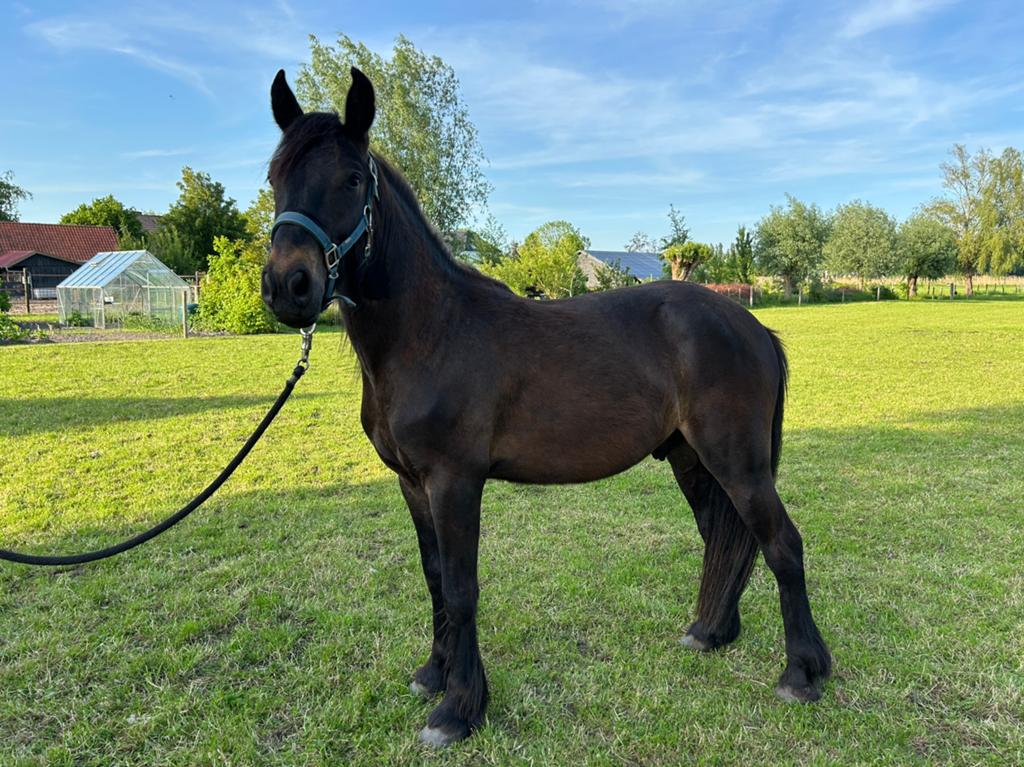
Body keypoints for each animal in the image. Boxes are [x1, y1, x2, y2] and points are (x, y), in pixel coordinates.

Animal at [260, 67, 832, 747]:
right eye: (274, 177)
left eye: (351, 178)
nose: (289, 286)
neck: (430, 332)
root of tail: (754, 327)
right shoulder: (411, 483)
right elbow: (433, 578)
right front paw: (434, 673)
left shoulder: (455, 482)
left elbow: (461, 589)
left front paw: (458, 708)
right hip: (691, 460)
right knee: (726, 536)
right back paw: (711, 633)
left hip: (737, 462)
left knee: (783, 544)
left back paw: (803, 673)